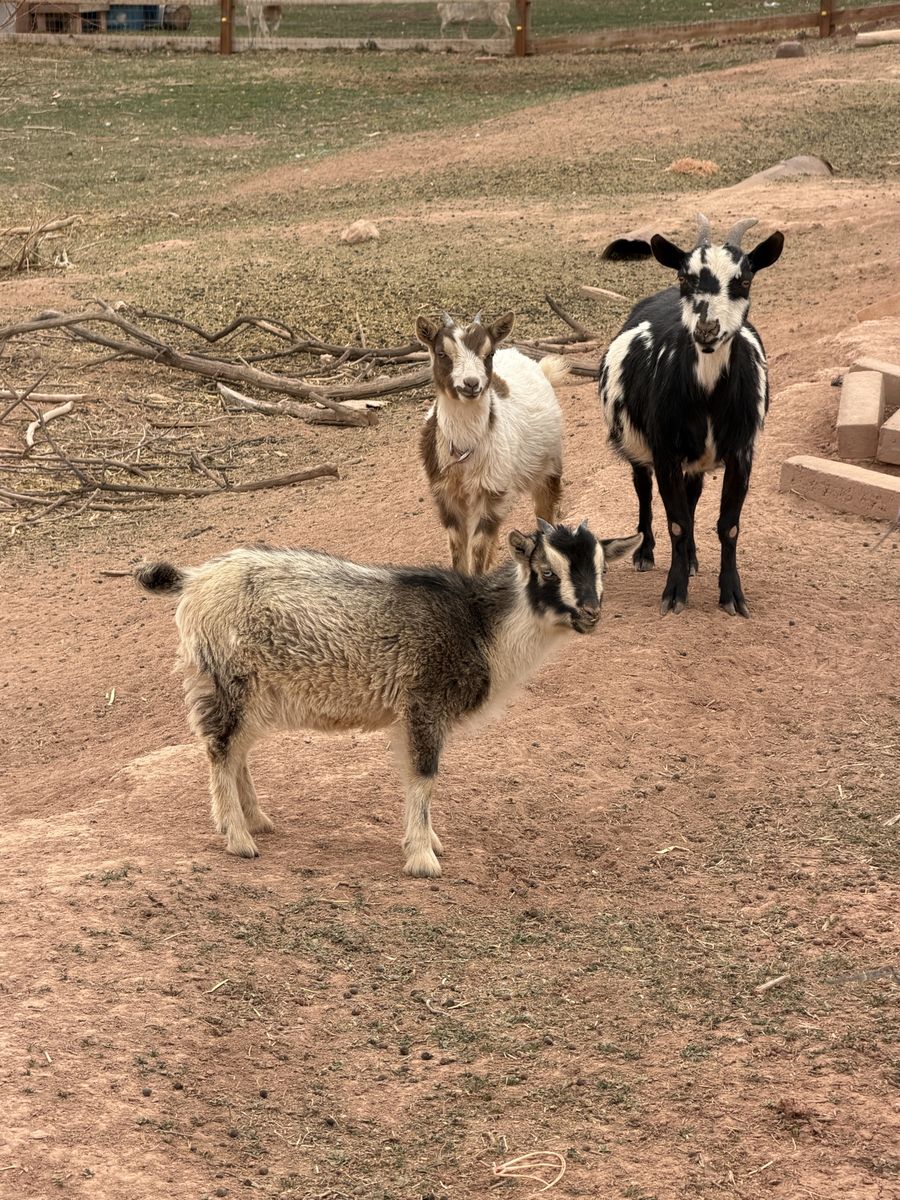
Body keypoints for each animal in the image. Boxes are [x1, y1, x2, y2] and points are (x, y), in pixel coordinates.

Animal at [136, 523, 640, 877]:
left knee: (237, 750)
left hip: (255, 692)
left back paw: (257, 819)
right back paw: (239, 838)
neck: (482, 629)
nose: (591, 613)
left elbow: (418, 778)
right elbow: (424, 776)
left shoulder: (413, 713)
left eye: (602, 570)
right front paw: (423, 859)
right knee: (221, 749)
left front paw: (429, 841)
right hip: (229, 679)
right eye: (547, 572)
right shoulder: (424, 701)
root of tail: (193, 580)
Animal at [416, 311, 567, 575]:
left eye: (489, 354)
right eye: (442, 353)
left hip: (547, 465)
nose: (471, 383)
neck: (464, 451)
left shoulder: (490, 490)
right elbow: (458, 545)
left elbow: (478, 546)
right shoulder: (446, 493)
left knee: (544, 511)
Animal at [599, 214, 784, 617]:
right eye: (685, 278)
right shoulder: (665, 451)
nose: (707, 328)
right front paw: (674, 593)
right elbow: (677, 524)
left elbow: (728, 525)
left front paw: (732, 596)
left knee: (693, 494)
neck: (709, 398)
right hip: (638, 446)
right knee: (643, 489)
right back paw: (646, 553)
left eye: (744, 280)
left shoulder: (742, 453)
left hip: (696, 459)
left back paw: (695, 558)